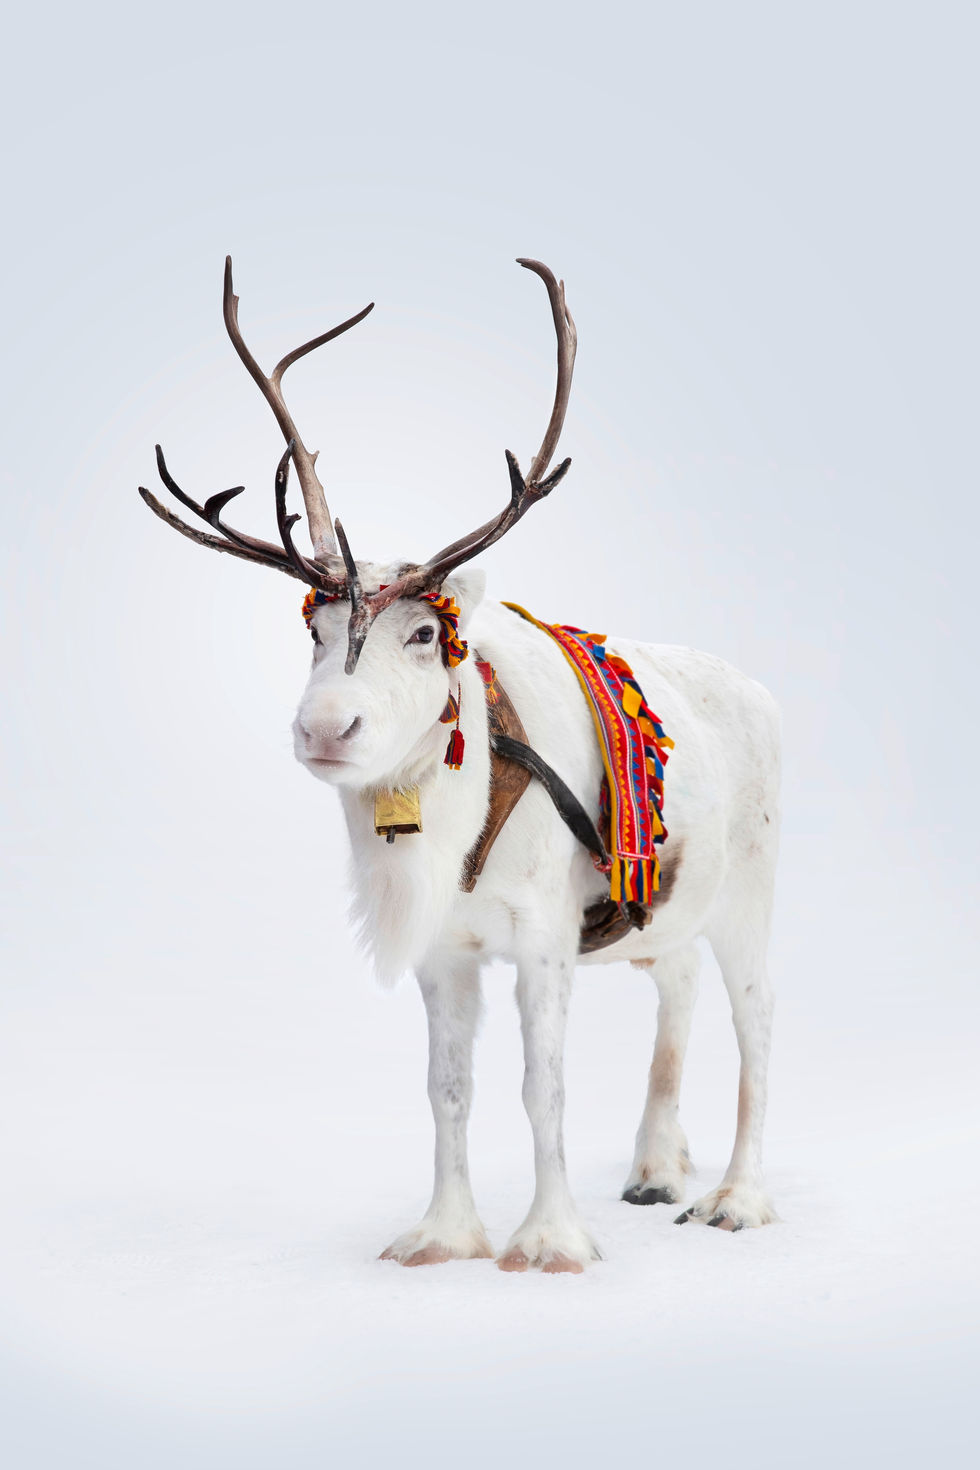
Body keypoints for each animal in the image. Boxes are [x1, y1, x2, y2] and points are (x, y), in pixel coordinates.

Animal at [139, 257, 781, 1273]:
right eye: (315, 629)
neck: (461, 811)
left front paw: (553, 1241)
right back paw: (656, 1169)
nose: (325, 727)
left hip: (750, 896)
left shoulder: (546, 940)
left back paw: (737, 1198)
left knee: (756, 1028)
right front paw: (444, 1235)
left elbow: (542, 1089)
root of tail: (761, 693)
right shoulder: (444, 951)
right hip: (665, 909)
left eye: (425, 634)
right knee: (675, 986)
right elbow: (448, 1091)